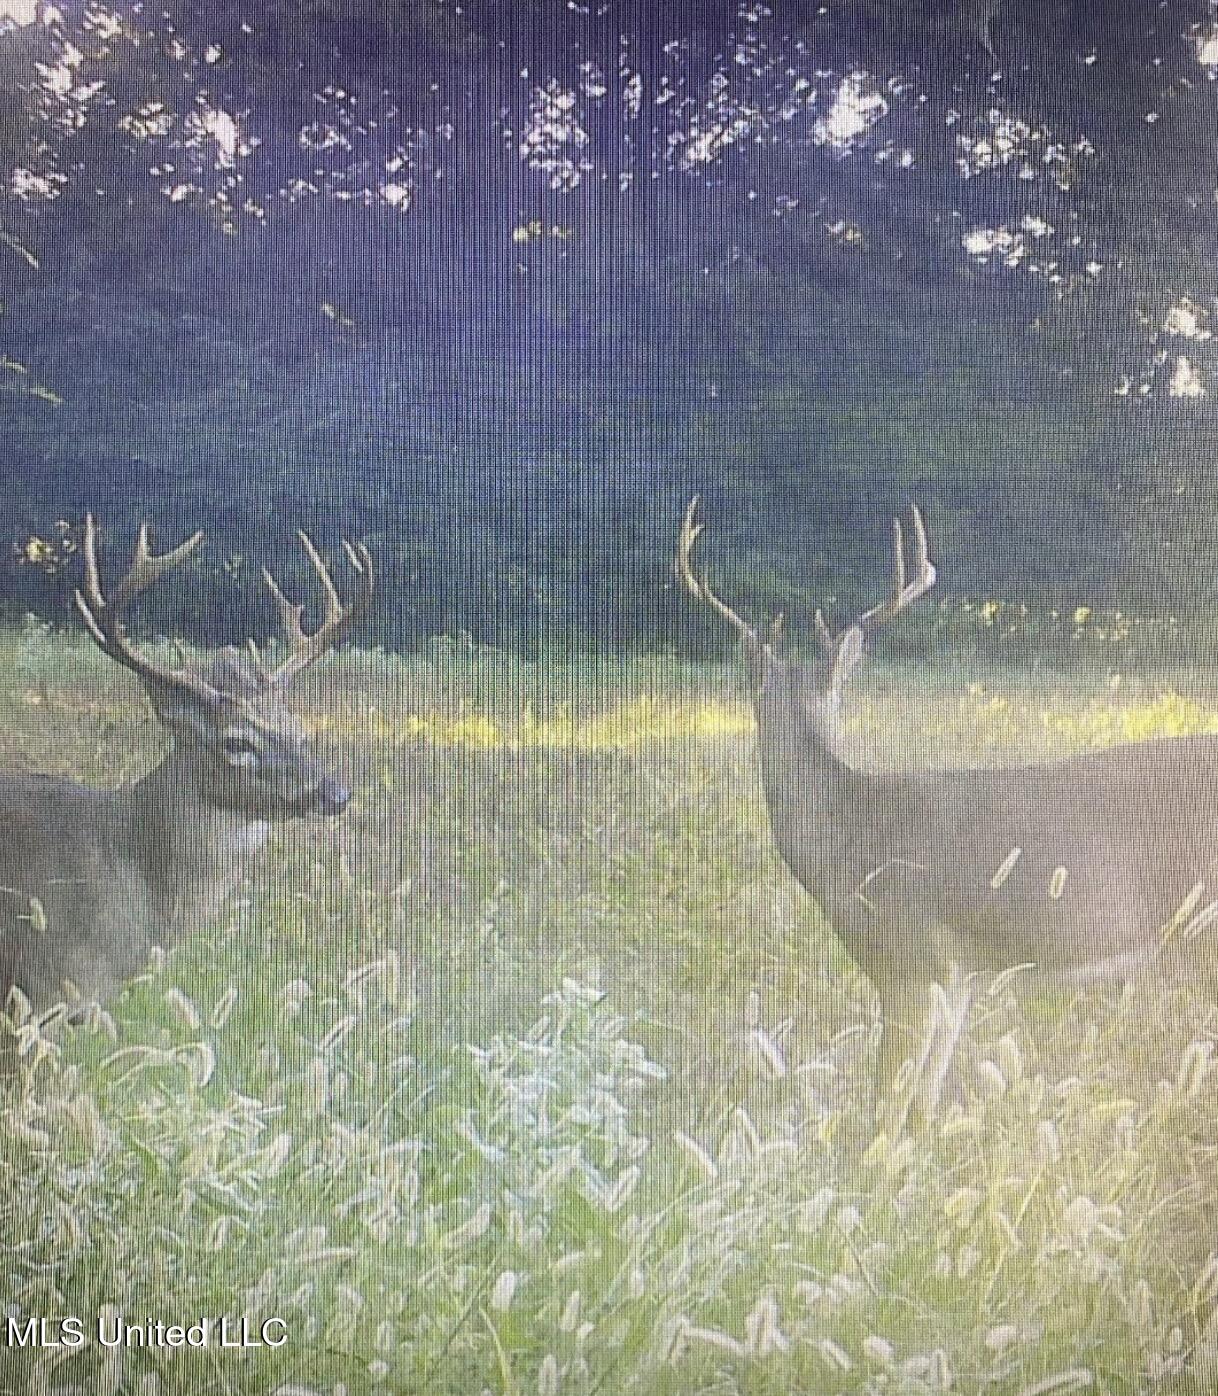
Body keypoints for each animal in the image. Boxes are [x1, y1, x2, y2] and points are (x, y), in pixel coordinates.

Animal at [677, 498, 1218, 1123]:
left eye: (831, 696)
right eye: (761, 699)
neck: (851, 838)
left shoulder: (911, 959)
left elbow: (891, 1100)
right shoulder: (957, 975)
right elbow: (927, 1099)